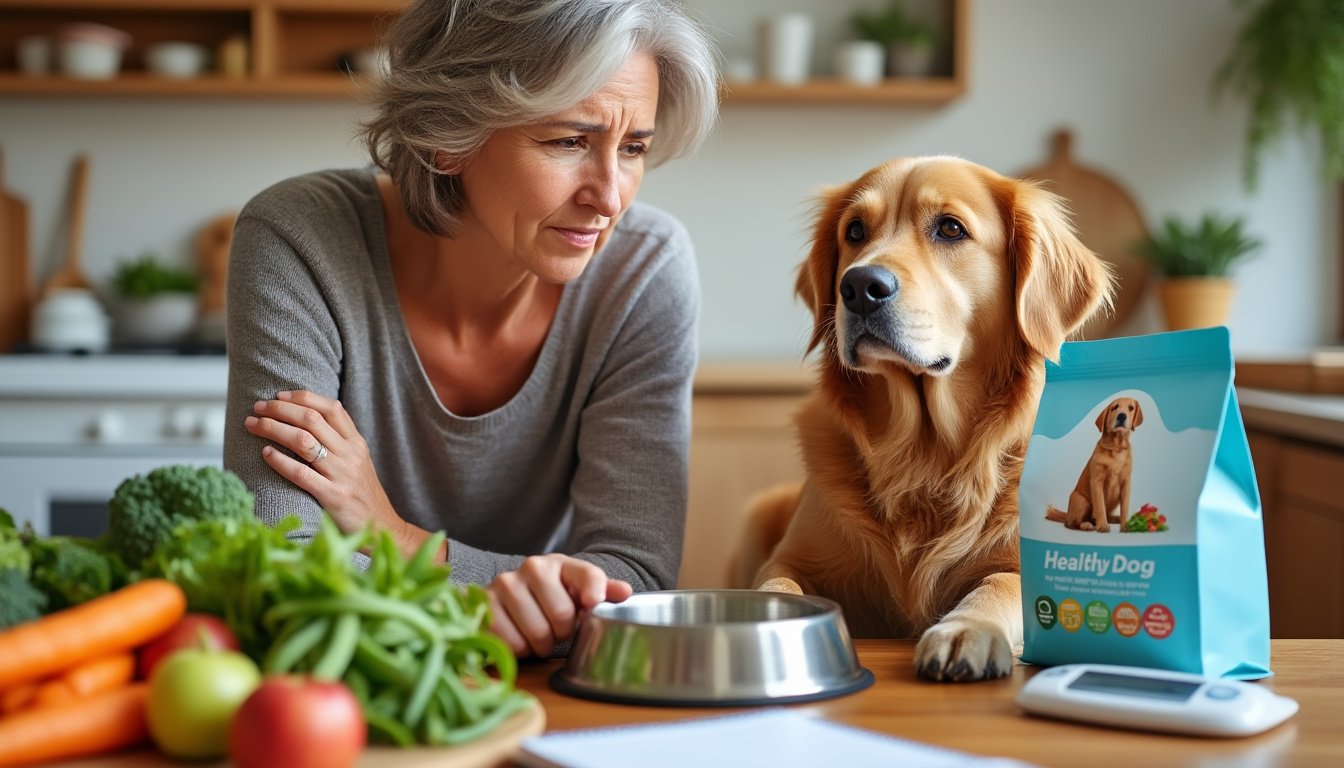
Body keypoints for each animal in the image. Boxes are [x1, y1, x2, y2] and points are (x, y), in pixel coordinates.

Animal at [736, 154, 1112, 677]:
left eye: (950, 228)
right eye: (855, 231)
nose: (859, 286)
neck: (922, 453)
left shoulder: (1025, 566)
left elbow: (1000, 585)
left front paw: (965, 629)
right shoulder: (790, 560)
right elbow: (777, 586)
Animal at [1042, 400, 1139, 532]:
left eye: (1131, 408)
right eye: (1114, 407)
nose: (1122, 416)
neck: (1115, 447)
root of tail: (1067, 514)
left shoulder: (1126, 483)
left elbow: (1124, 507)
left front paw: (1126, 526)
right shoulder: (1097, 482)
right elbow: (1100, 506)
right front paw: (1102, 525)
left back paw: (1115, 519)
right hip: (1081, 500)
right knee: (1071, 523)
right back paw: (1086, 524)